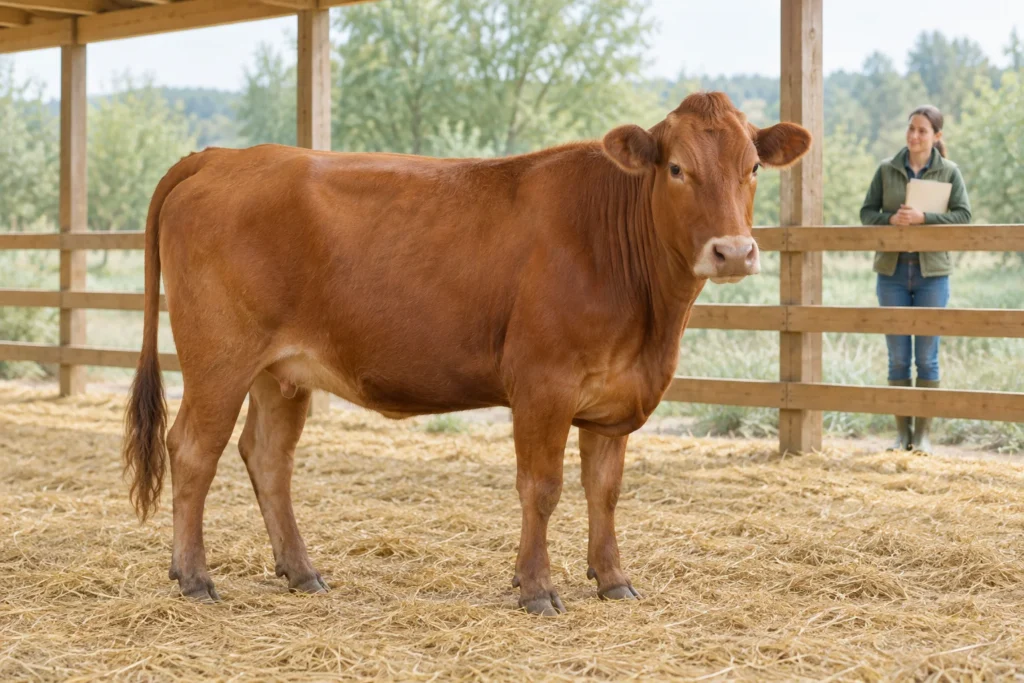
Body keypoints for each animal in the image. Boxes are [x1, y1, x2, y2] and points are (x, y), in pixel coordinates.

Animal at [122, 92, 810, 615]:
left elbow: (605, 490)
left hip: (281, 371)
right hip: (220, 358)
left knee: (267, 458)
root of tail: (221, 156)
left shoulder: (614, 396)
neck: (651, 320)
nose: (733, 251)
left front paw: (614, 580)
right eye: (676, 169)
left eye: (753, 166)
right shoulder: (542, 384)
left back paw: (302, 571)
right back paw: (195, 578)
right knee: (193, 450)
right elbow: (542, 487)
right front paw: (536, 589)